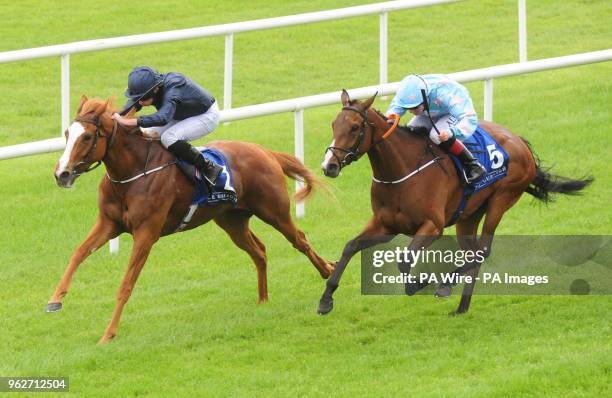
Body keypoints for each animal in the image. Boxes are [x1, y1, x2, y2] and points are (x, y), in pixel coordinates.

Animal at [48, 95, 334, 342]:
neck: (133, 173)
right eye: (67, 134)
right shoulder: (109, 223)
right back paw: (263, 299)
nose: (61, 174)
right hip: (232, 221)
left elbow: (126, 284)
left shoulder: (146, 234)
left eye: (87, 136)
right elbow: (78, 253)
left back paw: (328, 271)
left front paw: (108, 334)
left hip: (274, 211)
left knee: (300, 239)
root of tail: (265, 151)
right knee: (260, 251)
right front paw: (55, 300)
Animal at [318, 90, 592, 318]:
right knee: (473, 253)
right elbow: (350, 247)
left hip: (501, 199)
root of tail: (520, 142)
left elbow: (404, 259)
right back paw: (461, 305)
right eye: (333, 125)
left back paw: (446, 286)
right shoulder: (386, 226)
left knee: (483, 251)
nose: (329, 166)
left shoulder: (432, 226)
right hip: (469, 214)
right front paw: (326, 300)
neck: (402, 170)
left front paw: (419, 283)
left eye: (355, 127)